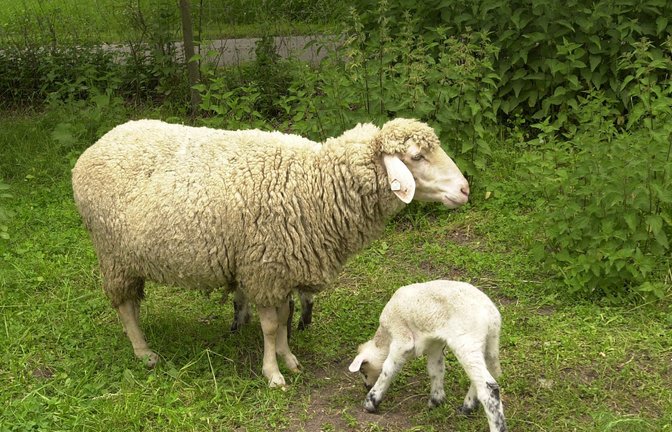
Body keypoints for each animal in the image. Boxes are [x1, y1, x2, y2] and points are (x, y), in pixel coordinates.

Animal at [71, 118, 470, 388]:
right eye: (416, 157)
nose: (465, 189)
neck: (316, 184)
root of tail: (95, 147)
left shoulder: (282, 268)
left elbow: (283, 316)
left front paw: (288, 358)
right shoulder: (264, 267)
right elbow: (270, 324)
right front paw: (273, 373)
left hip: (129, 257)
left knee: (131, 303)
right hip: (112, 254)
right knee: (124, 306)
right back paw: (144, 352)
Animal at [348, 280, 507, 432]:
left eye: (362, 370)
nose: (366, 386)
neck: (385, 338)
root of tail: (492, 317)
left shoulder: (401, 337)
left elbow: (388, 368)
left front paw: (371, 402)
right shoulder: (435, 344)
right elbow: (436, 369)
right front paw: (436, 401)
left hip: (467, 342)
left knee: (488, 388)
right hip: (488, 345)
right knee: (482, 376)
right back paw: (466, 408)